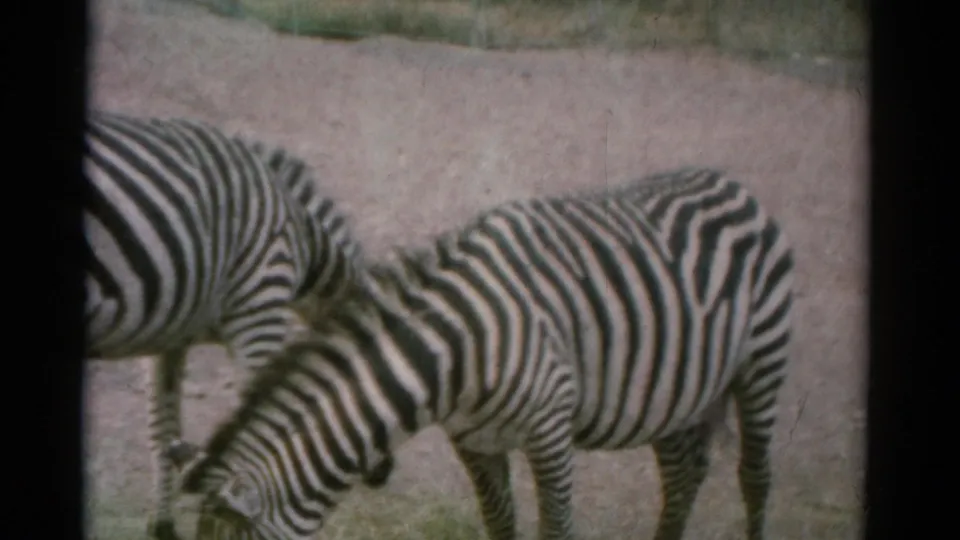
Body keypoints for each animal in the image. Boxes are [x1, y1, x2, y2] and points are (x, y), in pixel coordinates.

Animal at [84, 110, 365, 540]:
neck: (305, 237)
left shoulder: (169, 336)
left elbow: (162, 429)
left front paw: (163, 525)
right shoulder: (260, 311)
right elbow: (260, 427)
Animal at [168, 167, 794, 540]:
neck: (453, 352)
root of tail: (729, 182)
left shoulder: (550, 429)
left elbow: (556, 527)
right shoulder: (472, 441)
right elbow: (499, 525)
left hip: (762, 361)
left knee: (755, 475)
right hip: (677, 388)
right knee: (683, 473)